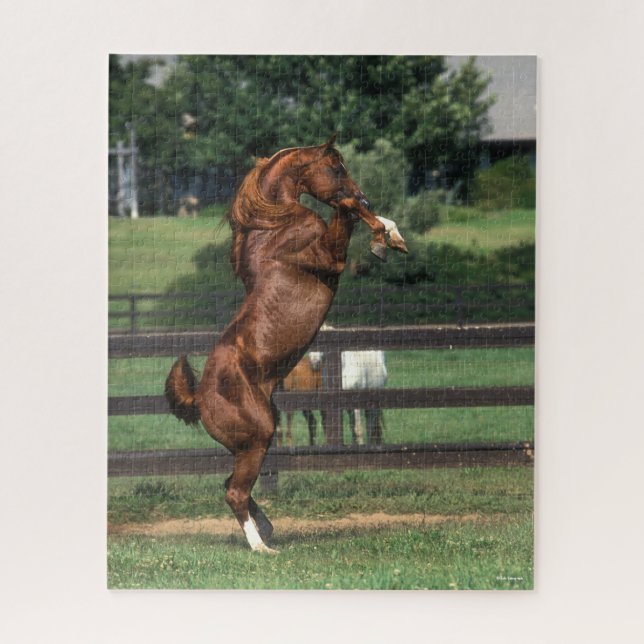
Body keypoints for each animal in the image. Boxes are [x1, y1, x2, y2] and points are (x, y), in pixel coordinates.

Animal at [165, 135, 407, 553]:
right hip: (259, 437)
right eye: (337, 168)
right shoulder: (329, 256)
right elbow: (346, 210)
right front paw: (381, 236)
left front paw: (392, 236)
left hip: (252, 442)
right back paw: (262, 548)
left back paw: (267, 530)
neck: (276, 228)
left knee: (233, 487)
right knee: (235, 493)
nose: (366, 194)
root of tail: (198, 397)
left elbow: (356, 214)